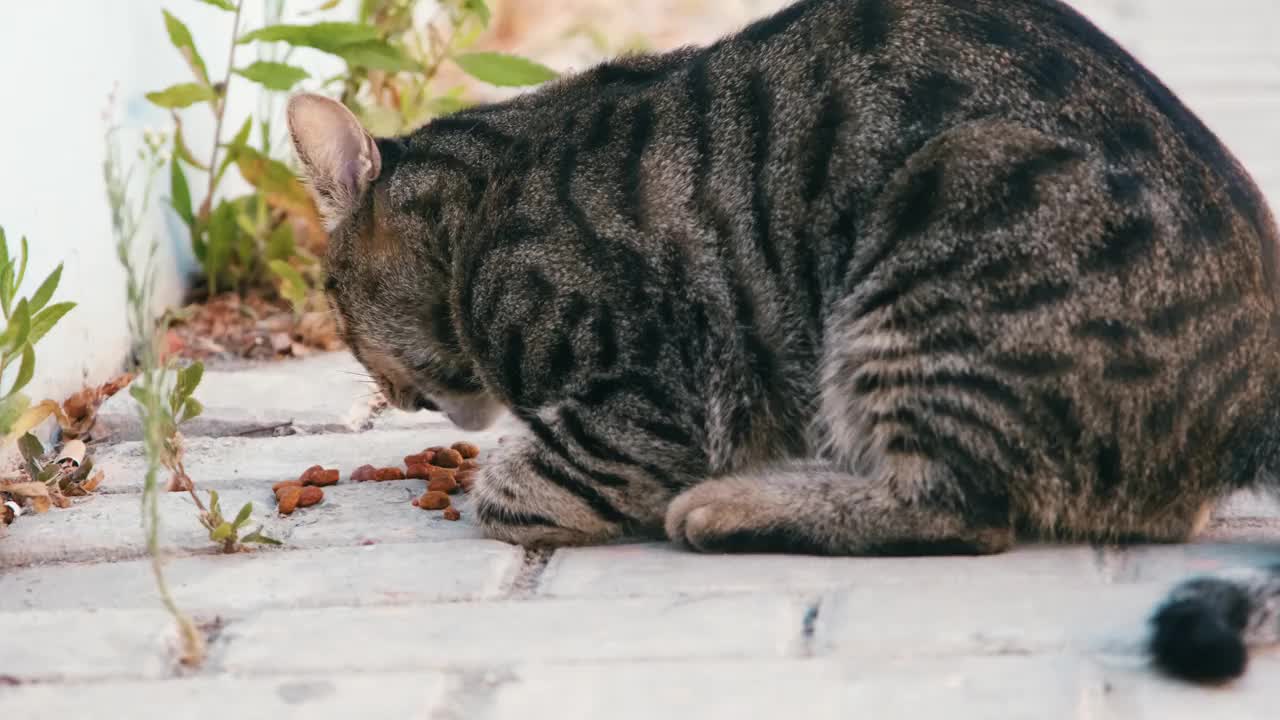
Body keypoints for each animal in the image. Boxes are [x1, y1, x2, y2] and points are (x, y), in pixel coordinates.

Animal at [288, 0, 1280, 676]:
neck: (481, 213)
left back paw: (733, 505)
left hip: (945, 230)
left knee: (967, 508)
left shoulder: (651, 404)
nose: (394, 398)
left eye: (335, 302)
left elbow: (515, 489)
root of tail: (1252, 403)